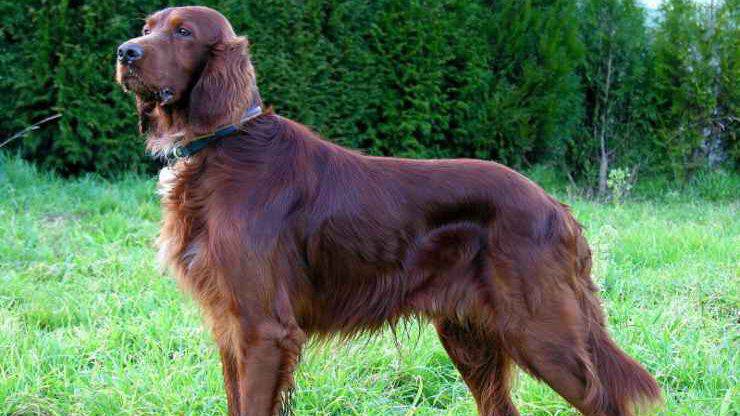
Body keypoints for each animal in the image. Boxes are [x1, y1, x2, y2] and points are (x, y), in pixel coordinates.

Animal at [116, 6, 660, 416]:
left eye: (184, 32)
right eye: (148, 26)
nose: (125, 52)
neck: (223, 144)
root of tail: (556, 208)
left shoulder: (263, 329)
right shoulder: (231, 329)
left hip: (540, 331)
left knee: (603, 400)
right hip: (470, 334)